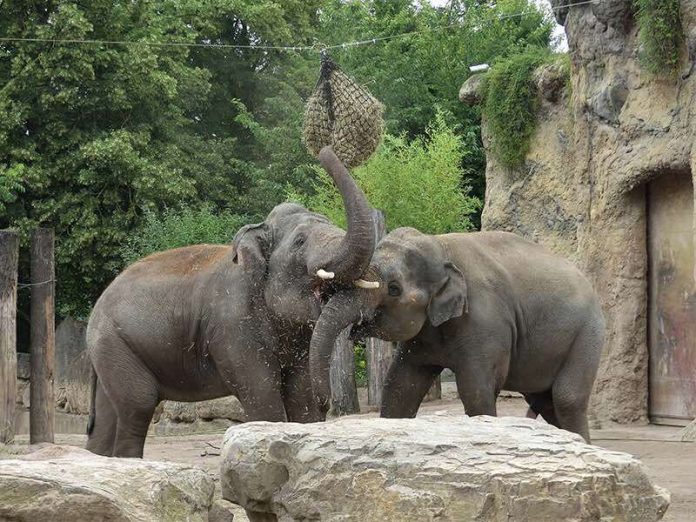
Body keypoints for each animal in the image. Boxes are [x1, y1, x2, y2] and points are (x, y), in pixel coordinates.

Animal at [87, 146, 380, 456]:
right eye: (300, 241)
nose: (324, 149)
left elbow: (301, 395)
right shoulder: (233, 326)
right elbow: (263, 396)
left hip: (112, 351)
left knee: (107, 417)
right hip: (115, 343)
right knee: (138, 405)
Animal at [312, 226, 608, 438]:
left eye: (394, 289)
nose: (324, 404)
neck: (442, 247)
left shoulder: (485, 323)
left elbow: (476, 391)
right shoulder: (423, 337)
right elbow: (400, 386)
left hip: (588, 333)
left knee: (566, 398)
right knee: (544, 400)